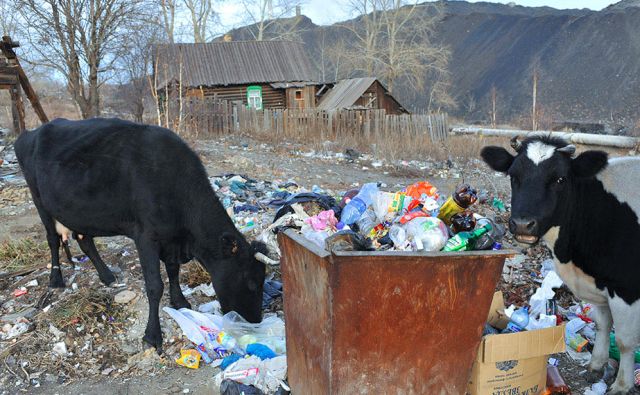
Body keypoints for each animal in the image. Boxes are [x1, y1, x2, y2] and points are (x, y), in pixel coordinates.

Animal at [15, 117, 270, 352]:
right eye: (251, 283)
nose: (254, 322)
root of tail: (31, 133)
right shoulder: (146, 236)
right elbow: (155, 286)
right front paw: (152, 335)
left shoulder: (171, 241)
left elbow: (173, 271)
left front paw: (179, 301)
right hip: (40, 201)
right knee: (52, 240)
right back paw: (56, 279)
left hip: (78, 211)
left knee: (85, 240)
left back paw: (107, 276)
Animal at [482, 135, 640, 394]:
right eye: (513, 177)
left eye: (559, 179)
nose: (523, 224)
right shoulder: (597, 283)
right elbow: (602, 324)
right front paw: (596, 365)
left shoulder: (626, 288)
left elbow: (626, 340)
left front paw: (621, 385)